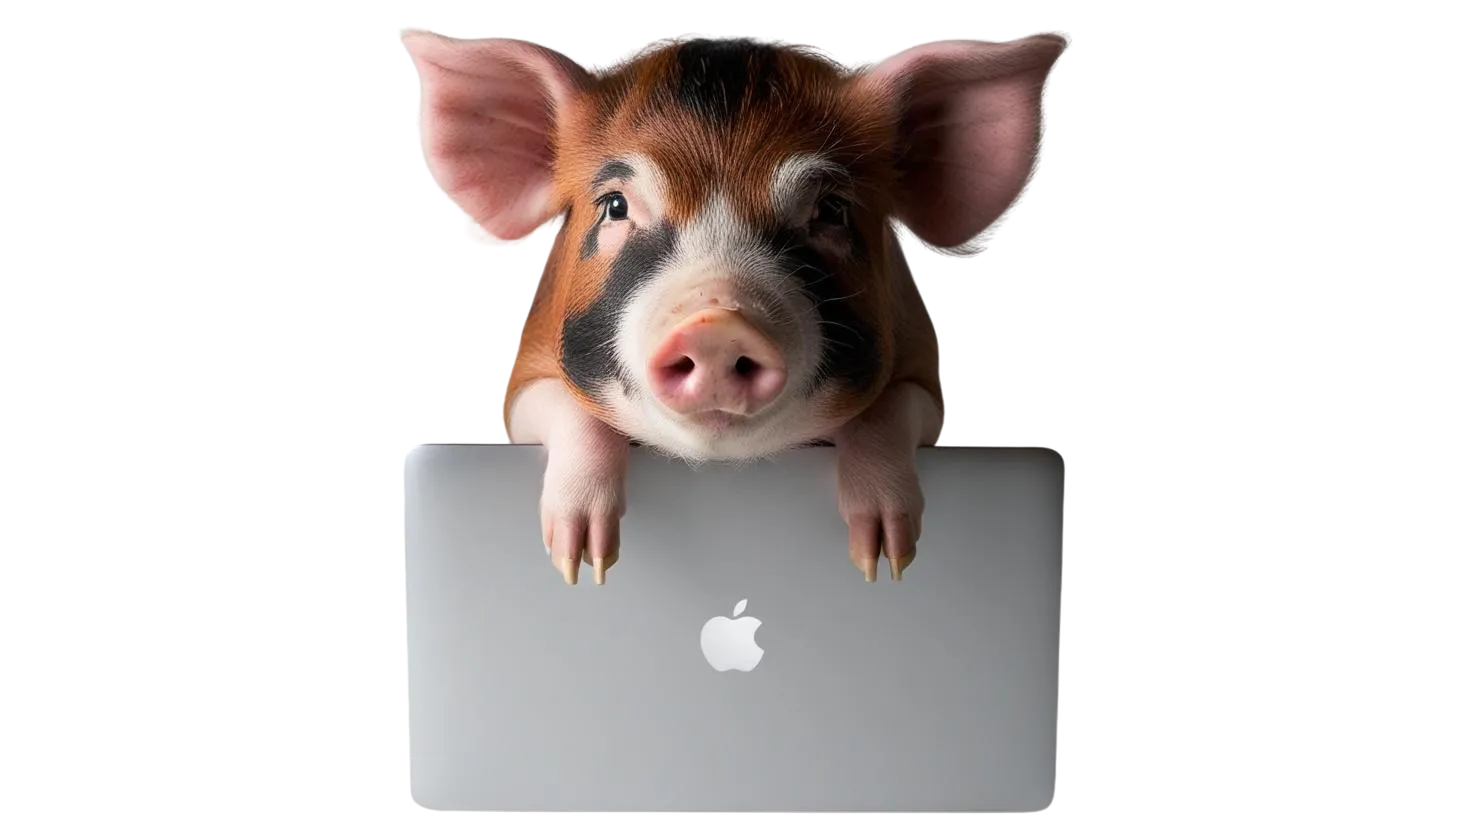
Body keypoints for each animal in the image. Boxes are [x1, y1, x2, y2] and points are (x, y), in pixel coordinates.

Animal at [403, 32, 1064, 586]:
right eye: (615, 206)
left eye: (830, 210)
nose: (717, 324)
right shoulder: (523, 383)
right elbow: (567, 408)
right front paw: (580, 564)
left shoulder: (925, 378)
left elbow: (892, 407)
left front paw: (885, 562)